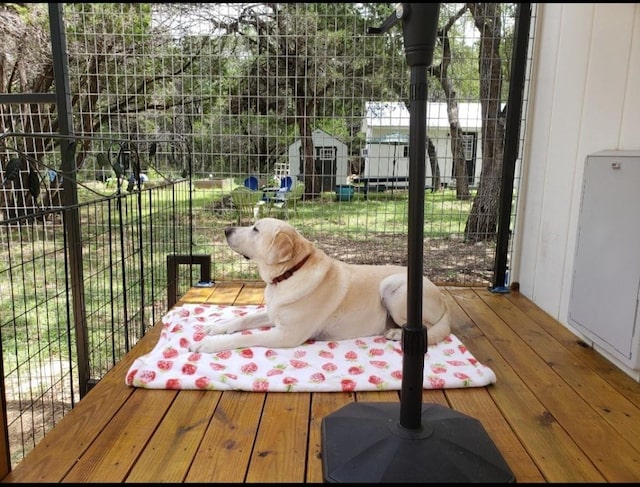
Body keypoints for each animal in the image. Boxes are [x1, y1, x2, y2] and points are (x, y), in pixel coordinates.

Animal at [190, 218, 450, 354]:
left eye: (255, 229)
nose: (226, 229)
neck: (289, 274)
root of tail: (441, 298)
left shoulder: (287, 335)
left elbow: (244, 338)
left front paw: (209, 344)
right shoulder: (274, 314)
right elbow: (243, 320)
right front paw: (218, 327)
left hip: (393, 286)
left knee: (428, 328)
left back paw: (396, 332)